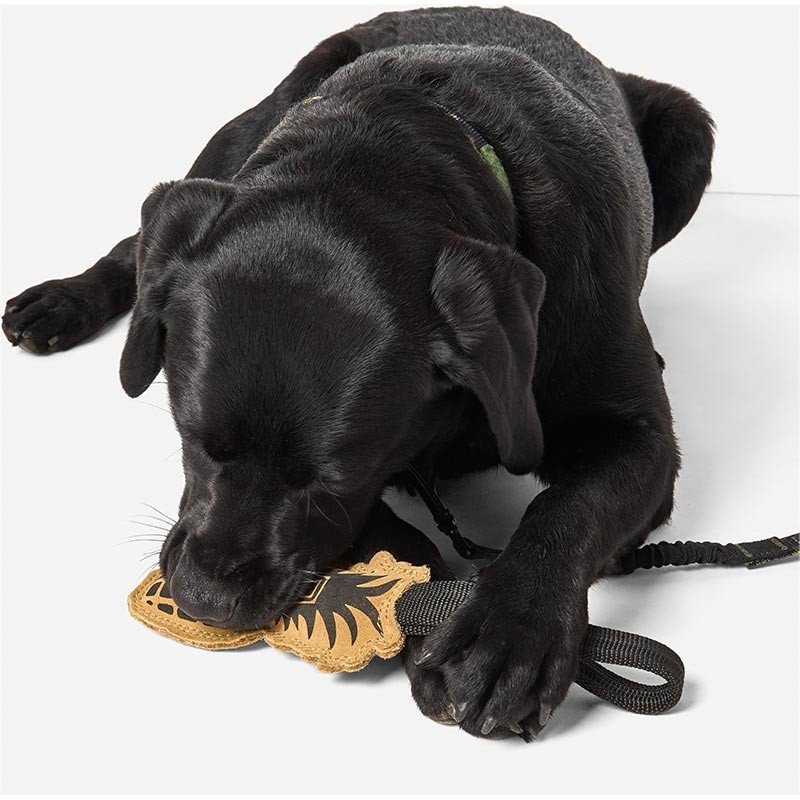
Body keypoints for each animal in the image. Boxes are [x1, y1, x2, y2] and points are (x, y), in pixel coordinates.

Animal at [1, 6, 714, 740]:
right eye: (191, 440)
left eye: (331, 479)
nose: (206, 600)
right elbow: (394, 532)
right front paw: (424, 603)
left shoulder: (641, 440)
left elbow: (566, 507)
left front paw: (505, 633)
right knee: (138, 239)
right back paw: (64, 301)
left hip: (689, 130)